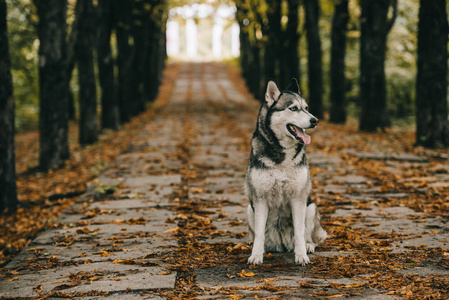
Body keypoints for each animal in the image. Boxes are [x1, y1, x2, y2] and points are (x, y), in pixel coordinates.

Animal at [245, 79, 326, 264]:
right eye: (293, 108)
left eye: (306, 107)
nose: (315, 120)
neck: (282, 158)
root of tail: (281, 244)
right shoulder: (260, 199)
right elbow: (259, 233)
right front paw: (256, 255)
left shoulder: (298, 198)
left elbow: (299, 231)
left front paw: (301, 255)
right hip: (250, 208)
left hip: (310, 208)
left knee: (310, 236)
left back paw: (309, 246)